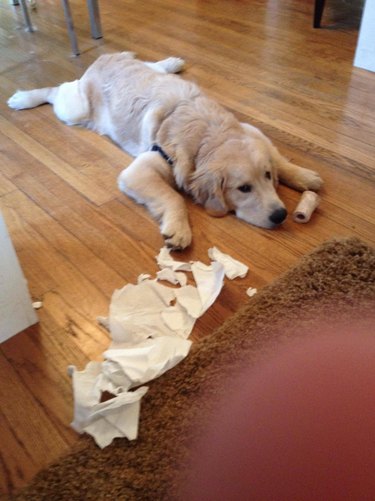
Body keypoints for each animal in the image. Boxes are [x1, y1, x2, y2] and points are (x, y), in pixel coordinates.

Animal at [7, 51, 324, 249]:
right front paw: (179, 230)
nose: (281, 215)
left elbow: (278, 156)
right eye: (243, 188)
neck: (205, 137)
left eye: (267, 176)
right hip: (74, 109)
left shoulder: (251, 130)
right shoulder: (140, 169)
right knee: (54, 90)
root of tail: (103, 58)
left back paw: (172, 62)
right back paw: (23, 98)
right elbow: (173, 197)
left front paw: (304, 176)